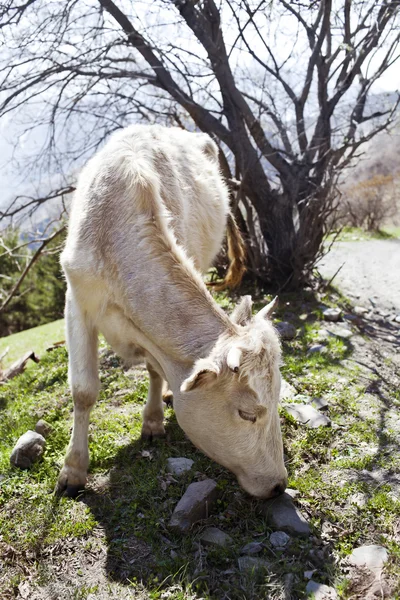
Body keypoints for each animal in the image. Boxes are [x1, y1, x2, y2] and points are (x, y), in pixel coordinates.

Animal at [57, 124, 288, 500]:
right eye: (247, 413)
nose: (279, 485)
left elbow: (154, 370)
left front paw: (152, 421)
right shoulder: (77, 303)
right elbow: (83, 390)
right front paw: (73, 471)